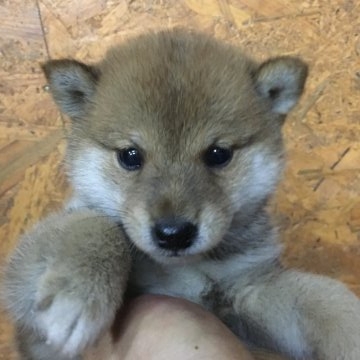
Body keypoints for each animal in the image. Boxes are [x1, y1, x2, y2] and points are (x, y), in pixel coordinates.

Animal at [2, 28, 360, 360]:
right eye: (130, 156)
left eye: (218, 154)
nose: (173, 233)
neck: (184, 270)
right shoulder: (23, 280)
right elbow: (95, 225)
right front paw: (77, 293)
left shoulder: (247, 286)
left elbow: (322, 299)